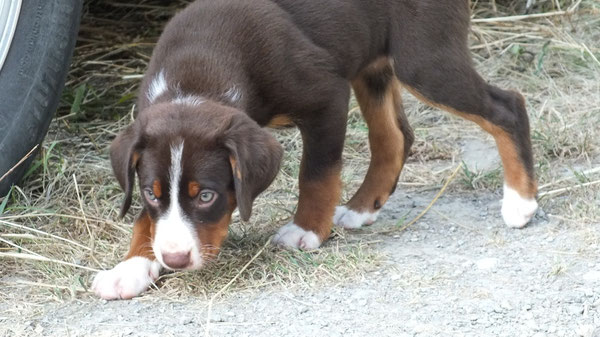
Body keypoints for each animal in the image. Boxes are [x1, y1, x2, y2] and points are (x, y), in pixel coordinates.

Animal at [92, 0, 540, 300]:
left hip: (423, 60)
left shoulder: (326, 95)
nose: (176, 260)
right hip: (372, 66)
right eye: (151, 193)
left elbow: (318, 173)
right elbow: (144, 220)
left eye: (206, 196)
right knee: (394, 138)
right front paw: (131, 266)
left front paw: (305, 230)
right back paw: (361, 209)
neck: (198, 76)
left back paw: (520, 202)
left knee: (508, 106)